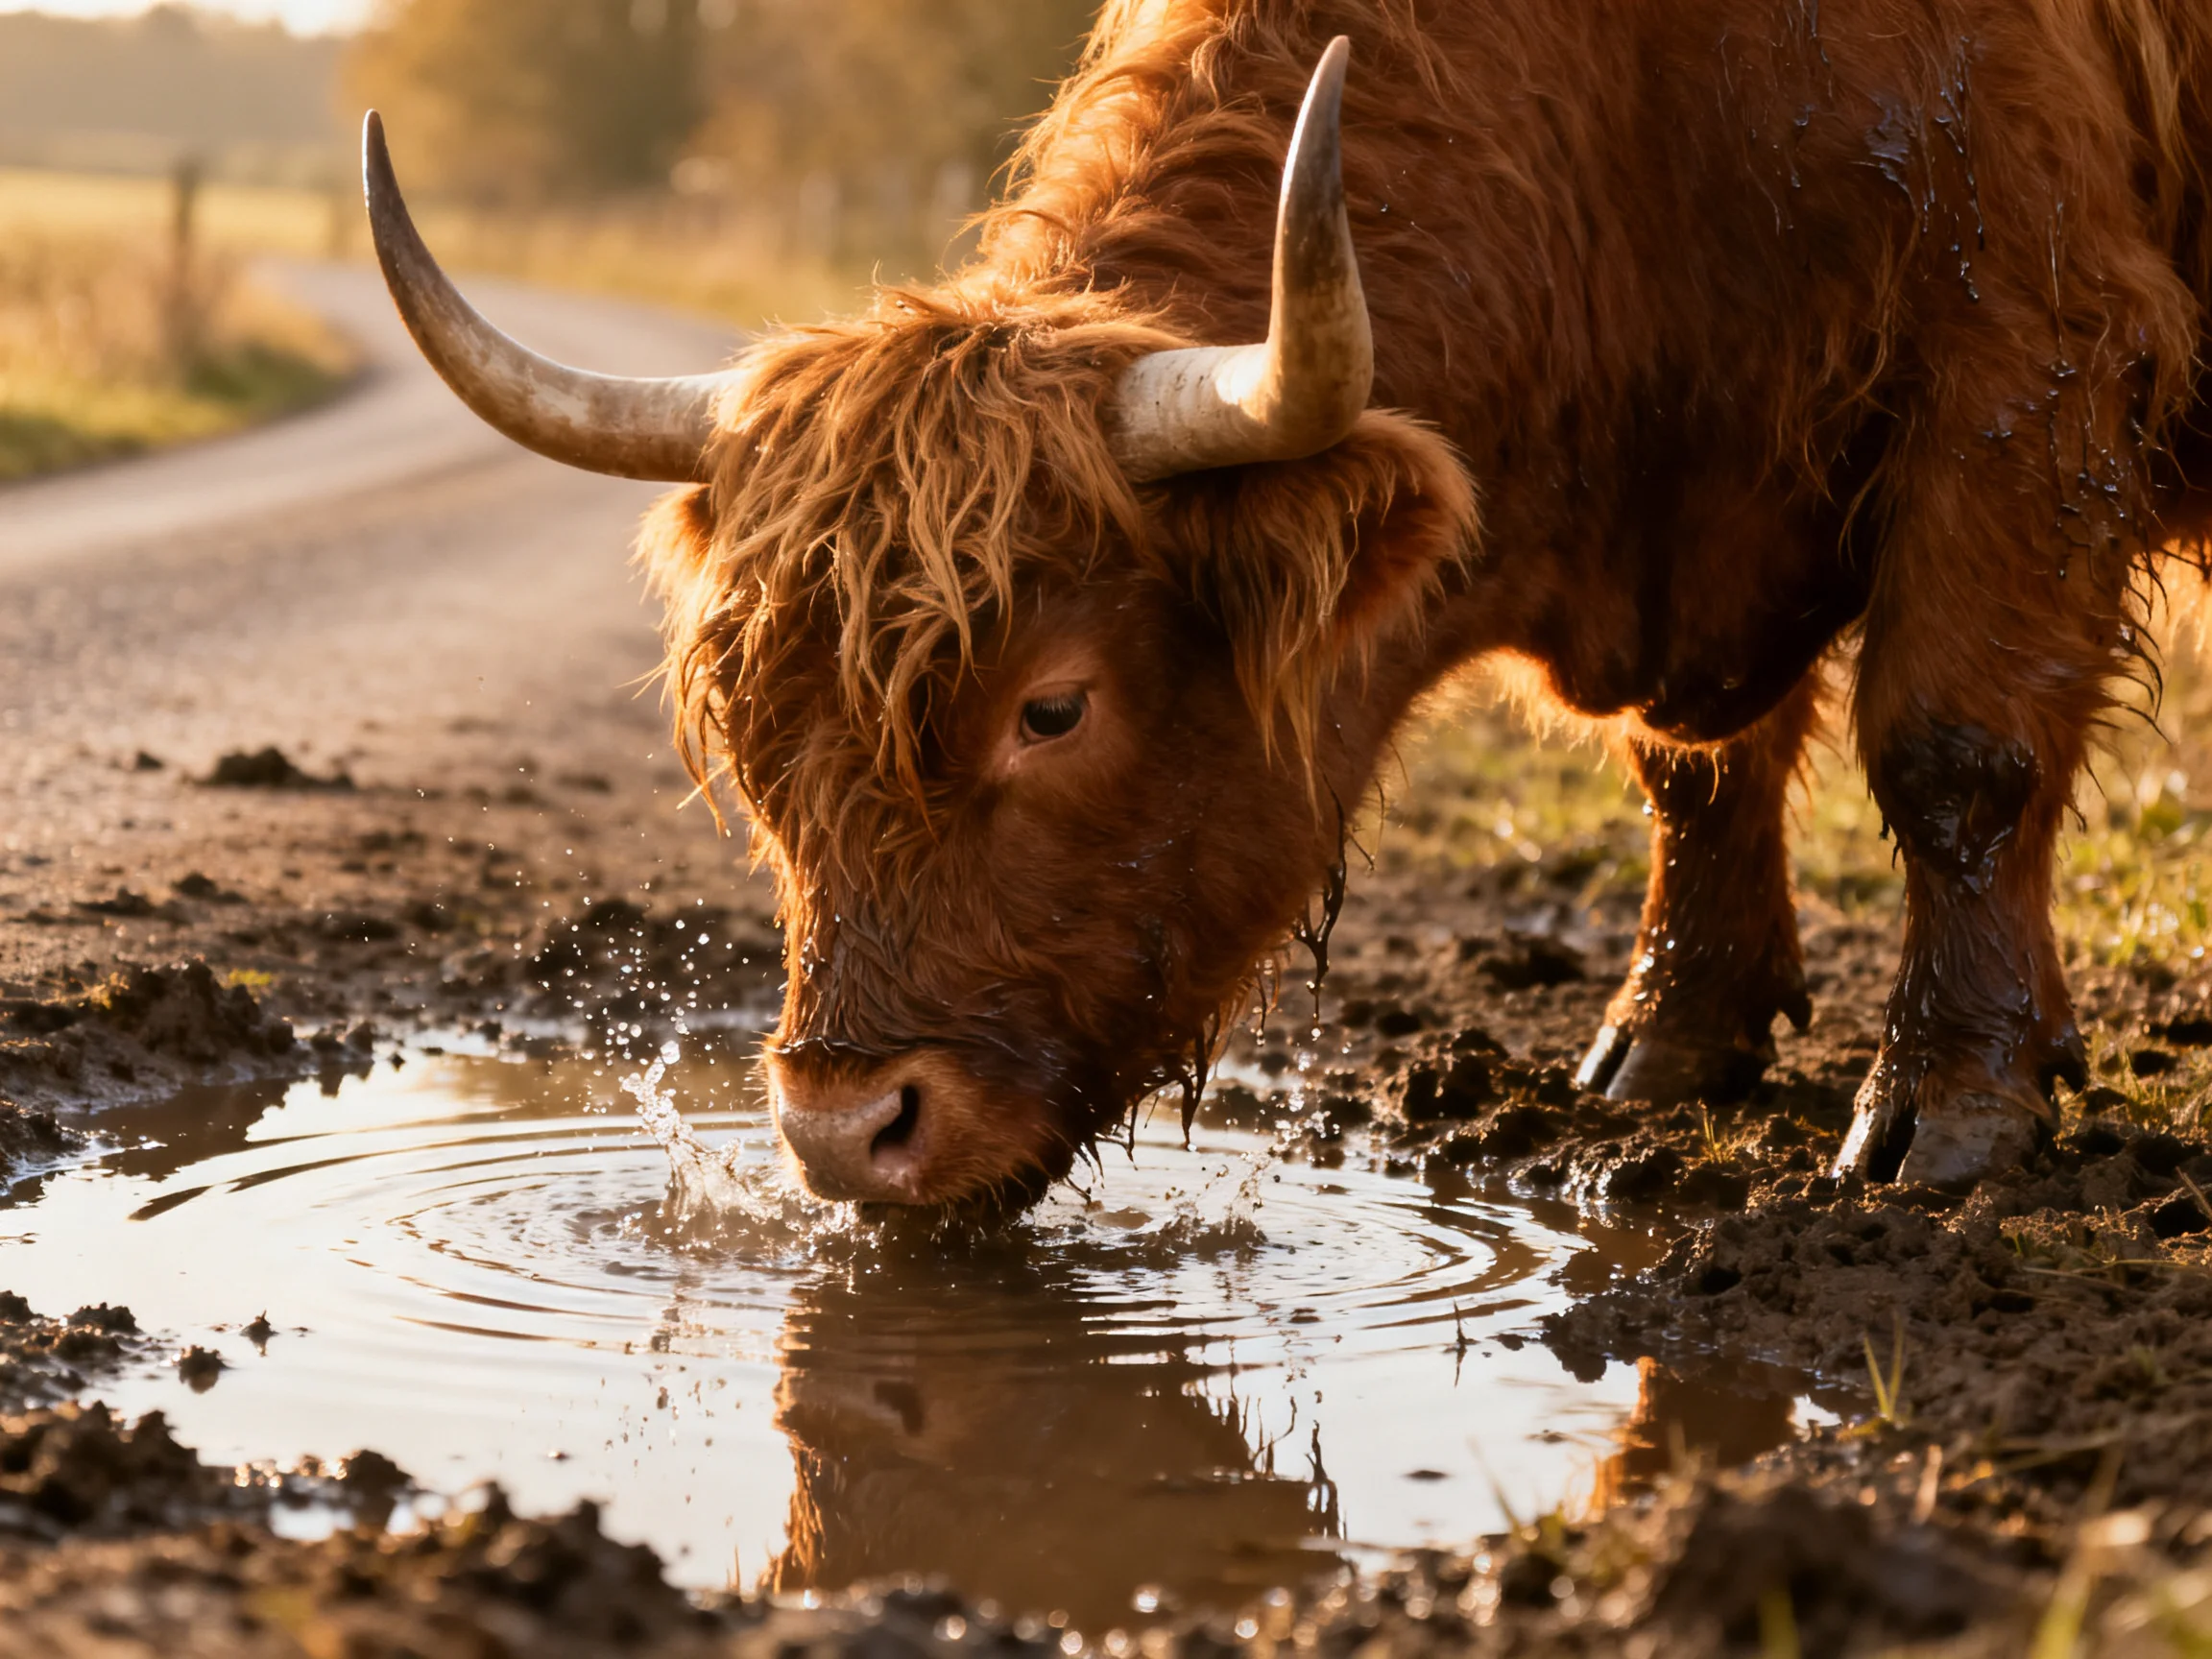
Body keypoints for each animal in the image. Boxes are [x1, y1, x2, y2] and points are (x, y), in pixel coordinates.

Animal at [363, 0, 2212, 1206]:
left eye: (1052, 705)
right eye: (751, 731)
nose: (840, 1132)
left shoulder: (2023, 359)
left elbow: (1953, 747)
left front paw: (1948, 1109)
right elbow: (1696, 771)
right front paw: (1669, 1036)